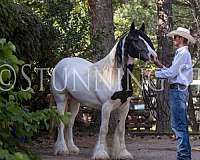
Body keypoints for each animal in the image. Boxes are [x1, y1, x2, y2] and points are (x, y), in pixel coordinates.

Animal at [50, 21, 157, 159]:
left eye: (147, 39)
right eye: (135, 40)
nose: (153, 56)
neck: (114, 75)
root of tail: (60, 64)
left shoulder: (124, 106)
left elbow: (121, 129)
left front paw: (123, 153)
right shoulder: (106, 106)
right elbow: (104, 129)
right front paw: (101, 153)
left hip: (75, 101)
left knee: (70, 123)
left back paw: (73, 148)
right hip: (61, 99)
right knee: (61, 122)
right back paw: (62, 149)